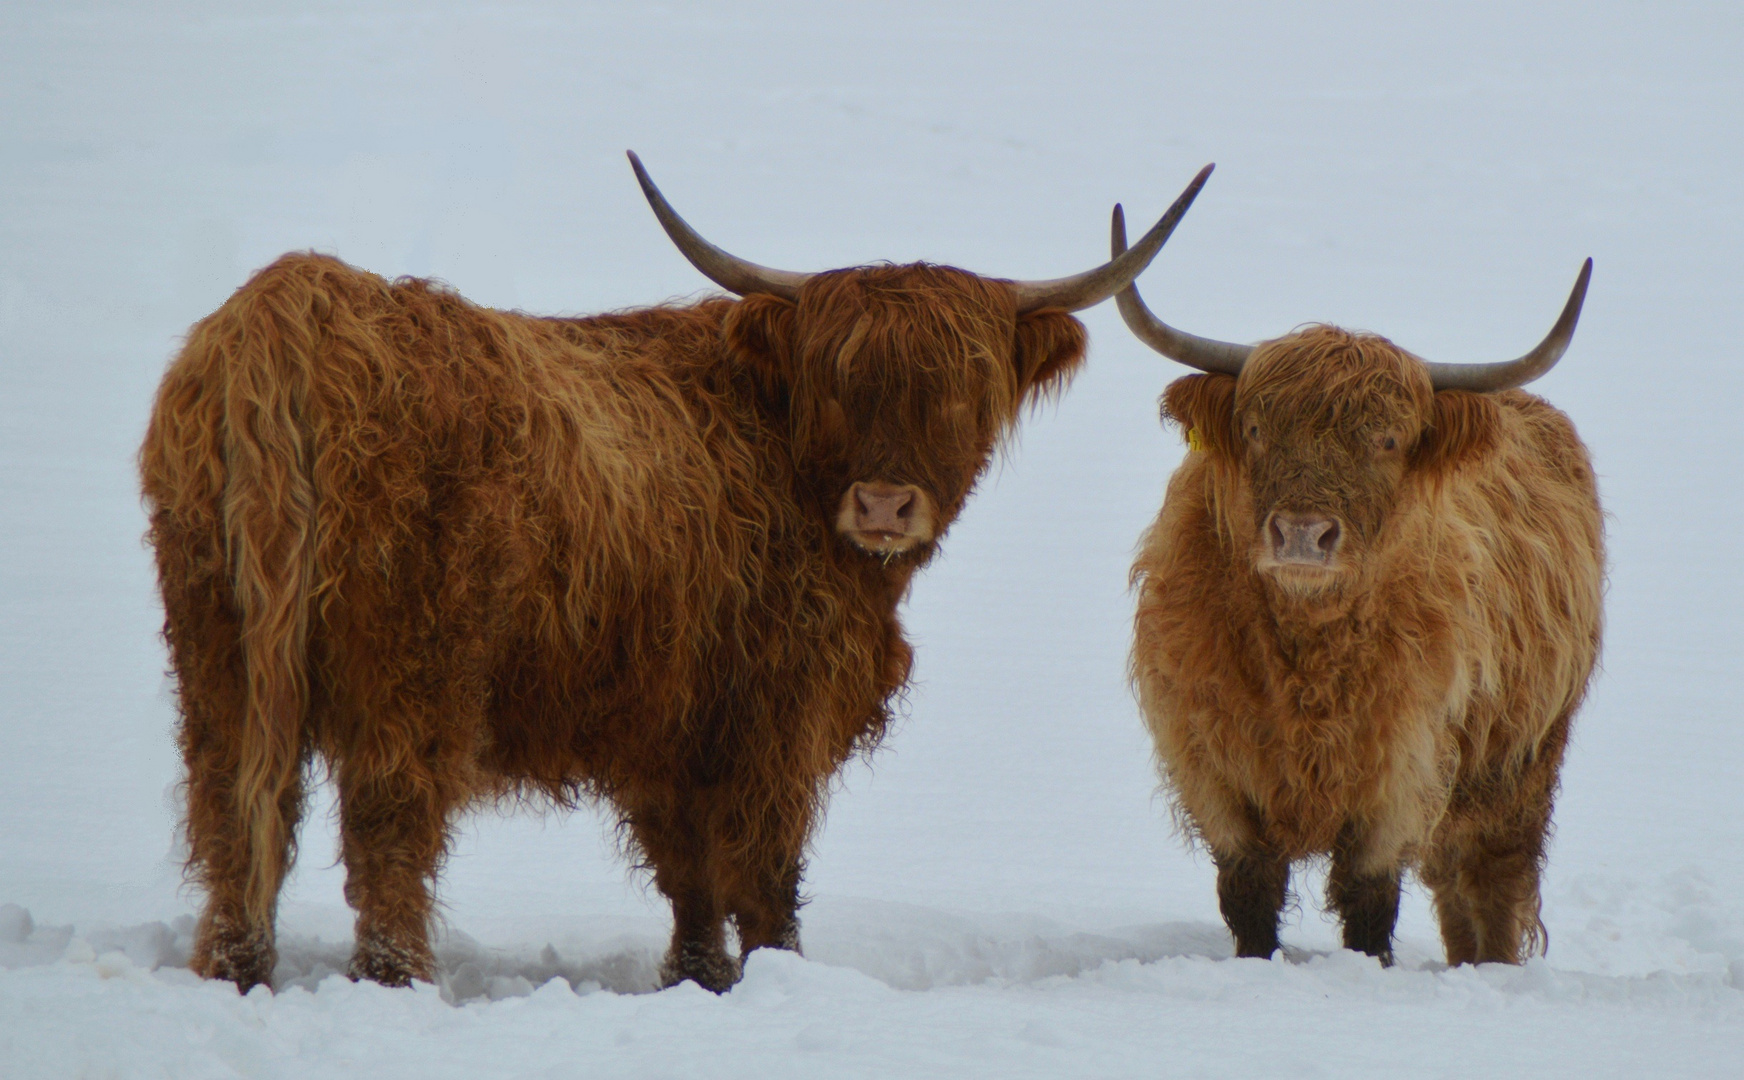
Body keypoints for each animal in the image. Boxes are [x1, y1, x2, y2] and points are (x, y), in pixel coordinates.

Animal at [139, 154, 1213, 997]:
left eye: (959, 387)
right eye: (836, 379)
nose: (883, 506)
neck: (776, 449)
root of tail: (291, 310)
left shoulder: (670, 717)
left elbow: (689, 873)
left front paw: (698, 980)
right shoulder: (778, 705)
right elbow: (765, 868)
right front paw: (778, 977)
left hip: (216, 644)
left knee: (232, 806)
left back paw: (235, 968)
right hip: (413, 661)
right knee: (389, 819)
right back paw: (392, 978)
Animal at [1109, 206, 1597, 970]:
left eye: (1388, 440)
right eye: (1255, 428)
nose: (1303, 533)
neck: (1306, 656)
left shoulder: (1400, 770)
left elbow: (1369, 901)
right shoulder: (1214, 764)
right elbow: (1250, 894)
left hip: (1519, 764)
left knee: (1492, 881)